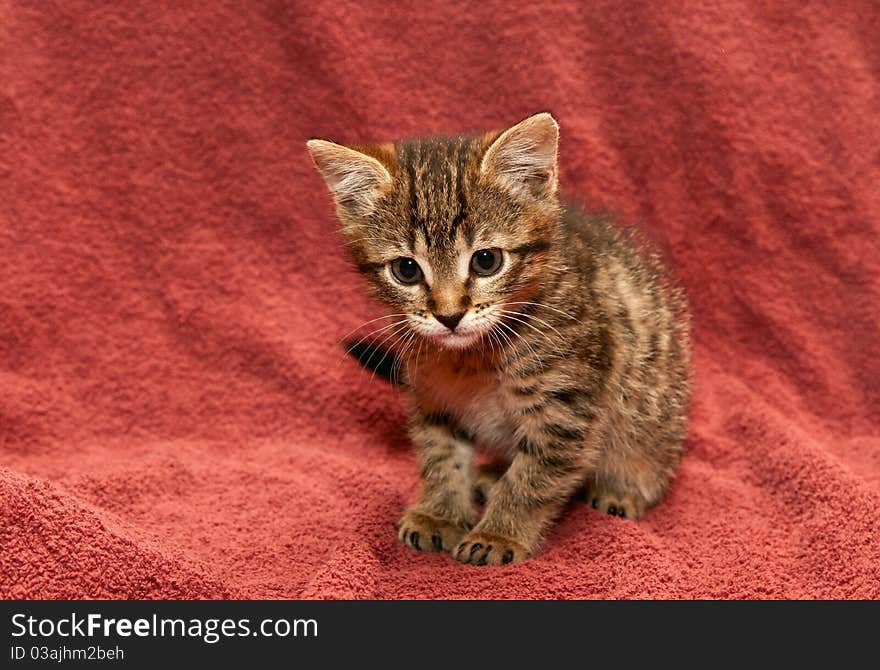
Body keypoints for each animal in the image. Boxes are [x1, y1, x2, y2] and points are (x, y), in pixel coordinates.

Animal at [306, 113, 692, 564]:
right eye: (406, 269)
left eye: (486, 261)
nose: (449, 315)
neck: (471, 359)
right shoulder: (432, 396)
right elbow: (441, 456)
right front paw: (439, 513)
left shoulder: (567, 406)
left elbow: (533, 478)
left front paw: (499, 533)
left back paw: (622, 490)